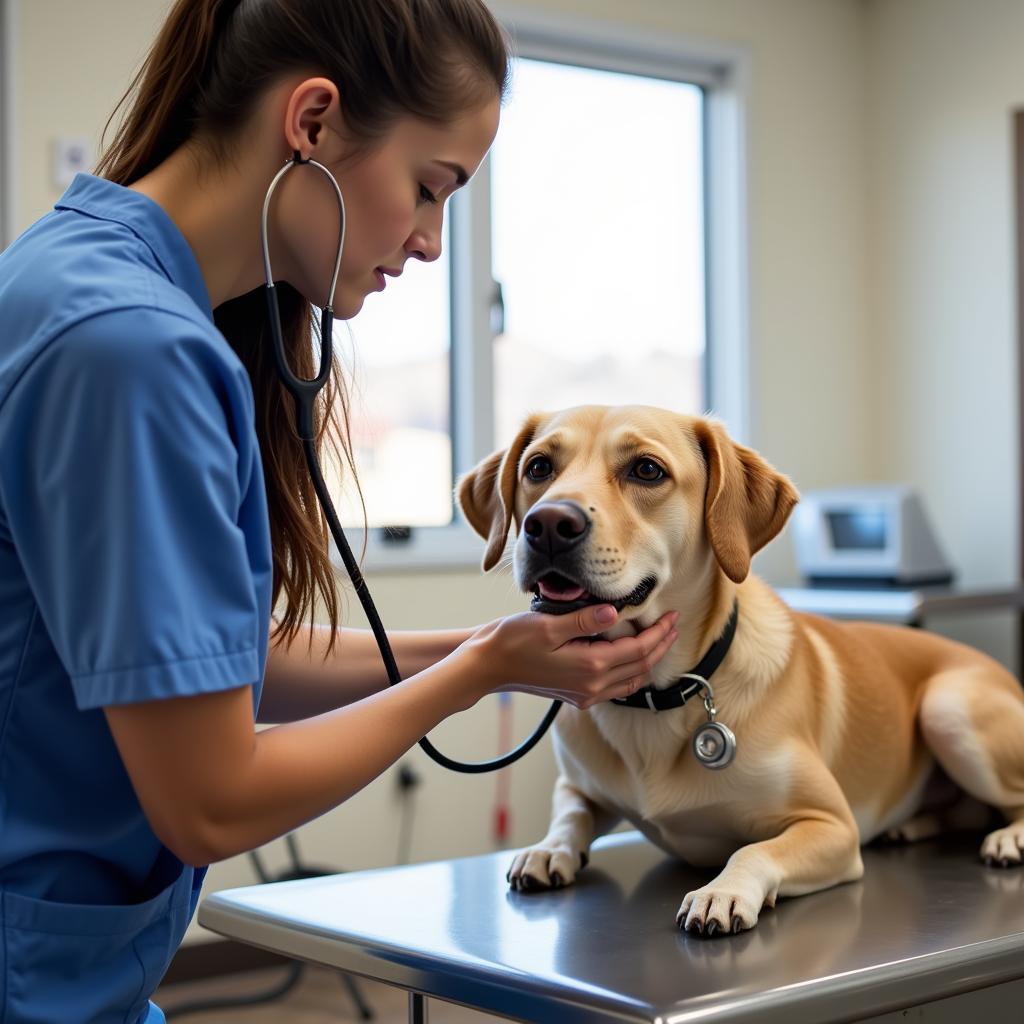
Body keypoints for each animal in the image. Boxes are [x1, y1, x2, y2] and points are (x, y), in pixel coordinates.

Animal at [456, 405, 1024, 937]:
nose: (549, 524)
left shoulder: (832, 825)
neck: (656, 696)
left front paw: (721, 892)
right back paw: (914, 824)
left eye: (646, 470)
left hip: (948, 708)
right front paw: (549, 848)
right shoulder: (576, 785)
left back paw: (1007, 837)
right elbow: (570, 813)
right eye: (538, 467)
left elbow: (752, 850)